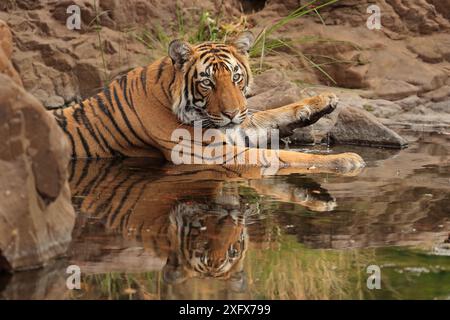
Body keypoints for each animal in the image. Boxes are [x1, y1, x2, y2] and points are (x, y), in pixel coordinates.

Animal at [51, 31, 364, 174]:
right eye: (207, 82)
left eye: (236, 77)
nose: (233, 113)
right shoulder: (208, 153)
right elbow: (286, 157)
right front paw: (346, 159)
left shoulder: (235, 129)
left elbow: (272, 113)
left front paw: (323, 100)